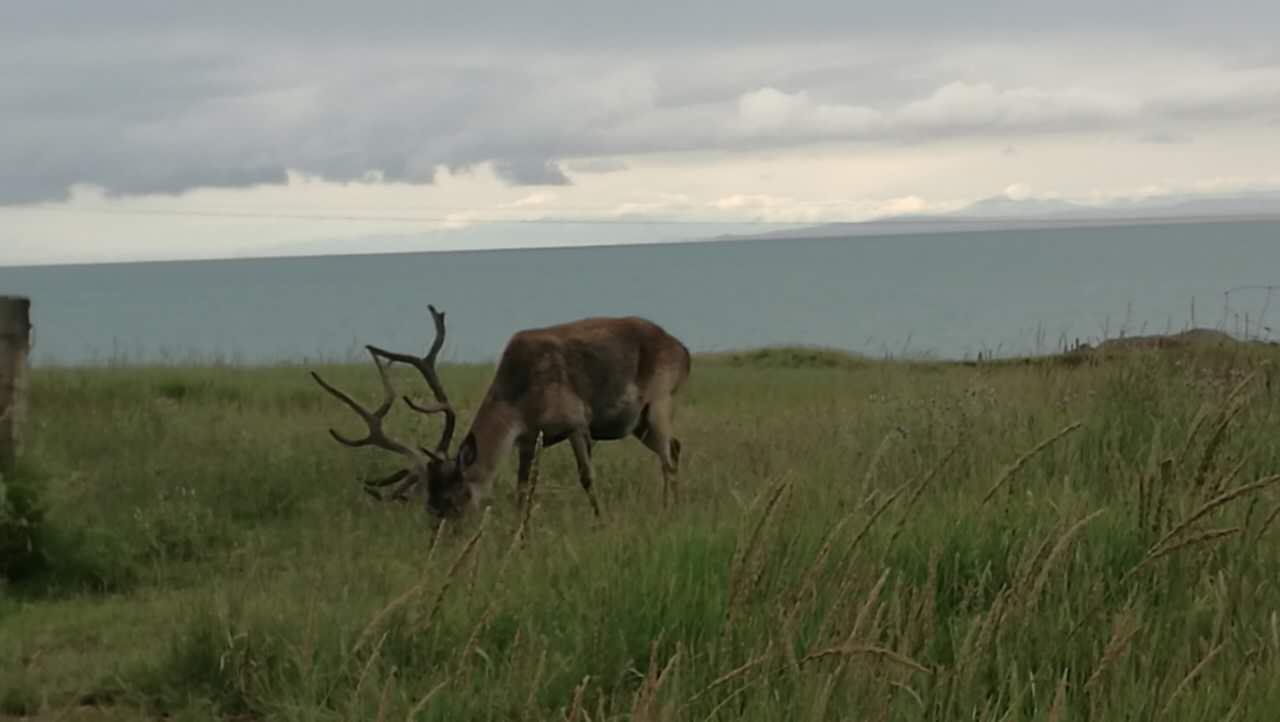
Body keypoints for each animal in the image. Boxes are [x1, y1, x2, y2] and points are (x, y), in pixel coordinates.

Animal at [308, 304, 691, 519]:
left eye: (456, 497)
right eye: (429, 504)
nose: (443, 539)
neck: (521, 396)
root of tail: (683, 350)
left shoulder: (576, 423)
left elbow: (587, 478)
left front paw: (600, 521)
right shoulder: (528, 438)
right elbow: (524, 489)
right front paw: (519, 536)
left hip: (659, 400)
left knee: (668, 458)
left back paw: (669, 510)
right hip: (638, 422)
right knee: (674, 448)